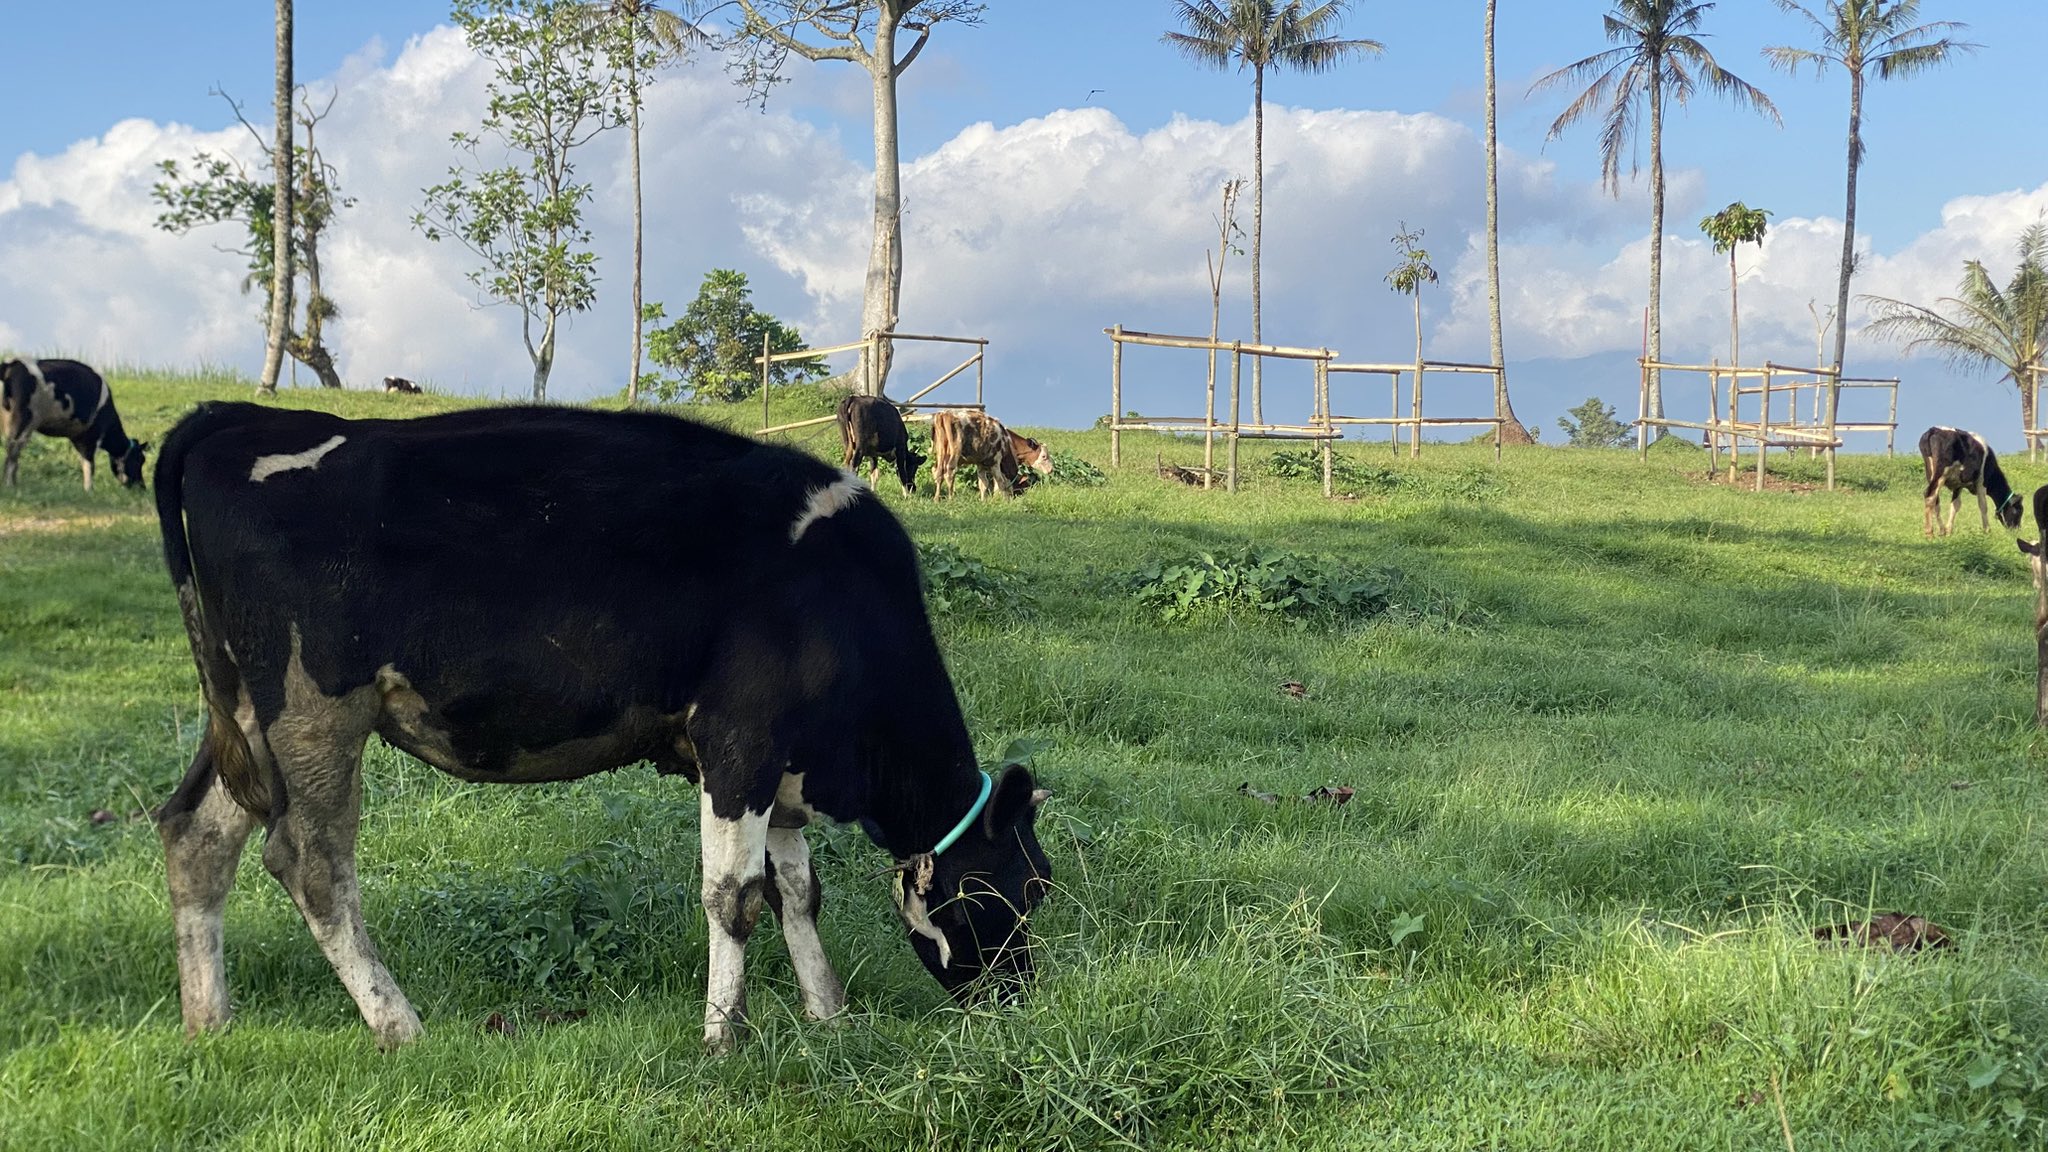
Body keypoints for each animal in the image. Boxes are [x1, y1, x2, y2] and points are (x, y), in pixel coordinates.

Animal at [2, 357, 147, 491]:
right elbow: (90, 465)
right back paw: (10, 485)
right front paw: (89, 490)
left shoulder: (79, 438)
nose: (142, 488)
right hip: (23, 419)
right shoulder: (91, 436)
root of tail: (12, 363)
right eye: (139, 460)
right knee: (13, 448)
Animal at [151, 401, 1051, 1052]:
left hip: (246, 714)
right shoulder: (740, 743)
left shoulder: (783, 762)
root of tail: (244, 418)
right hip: (313, 706)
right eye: (1017, 889)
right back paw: (397, 1021)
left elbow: (798, 891)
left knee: (196, 832)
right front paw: (724, 1037)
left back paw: (209, 1020)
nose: (1017, 997)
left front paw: (828, 1013)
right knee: (311, 864)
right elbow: (735, 896)